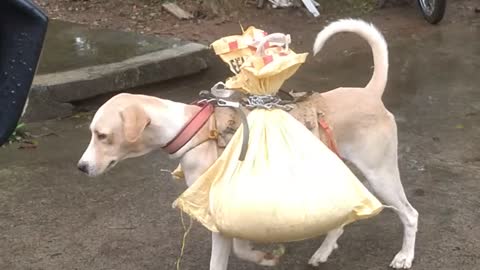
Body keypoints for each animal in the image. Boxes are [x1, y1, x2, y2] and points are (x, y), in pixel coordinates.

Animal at [78, 19, 416, 270]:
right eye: (93, 133)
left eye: (103, 135)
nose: (81, 167)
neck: (195, 129)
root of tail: (370, 93)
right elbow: (241, 247)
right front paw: (262, 256)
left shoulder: (219, 214)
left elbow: (225, 257)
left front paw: (262, 256)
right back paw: (324, 251)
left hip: (380, 174)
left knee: (409, 214)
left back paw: (404, 257)